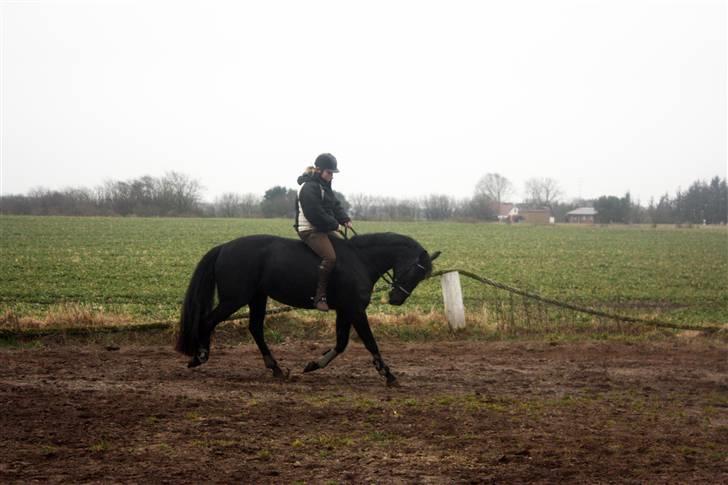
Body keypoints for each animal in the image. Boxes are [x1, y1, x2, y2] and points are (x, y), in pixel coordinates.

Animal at [176, 232, 438, 386]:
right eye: (416, 271)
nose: (396, 299)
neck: (360, 259)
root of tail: (224, 247)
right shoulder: (355, 309)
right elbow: (370, 342)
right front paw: (388, 375)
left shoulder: (345, 311)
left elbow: (341, 343)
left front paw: (313, 365)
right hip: (234, 299)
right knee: (208, 321)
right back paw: (200, 357)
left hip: (257, 297)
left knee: (255, 328)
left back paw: (276, 369)